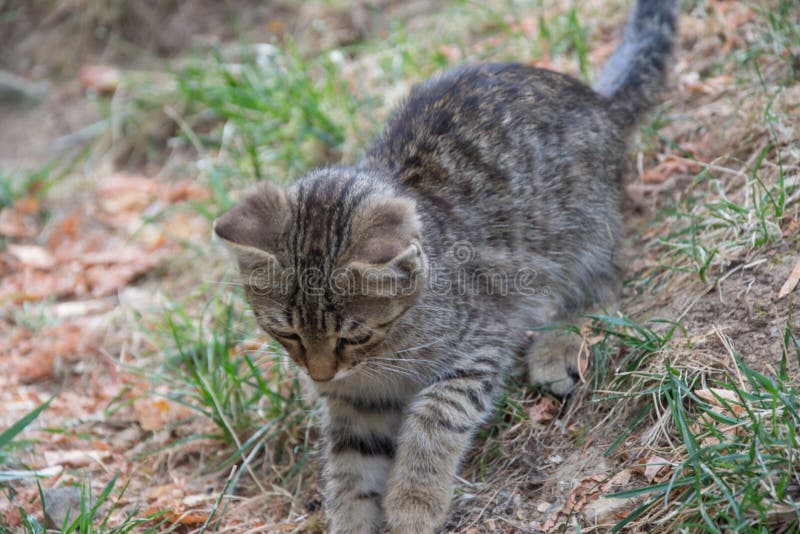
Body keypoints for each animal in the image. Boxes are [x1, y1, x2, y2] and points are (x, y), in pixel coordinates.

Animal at [212, 2, 676, 532]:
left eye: (354, 336)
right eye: (286, 333)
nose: (321, 375)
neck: (385, 356)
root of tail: (597, 101)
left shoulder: (480, 341)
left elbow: (437, 414)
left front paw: (415, 500)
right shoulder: (356, 402)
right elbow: (351, 464)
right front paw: (353, 518)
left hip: (579, 236)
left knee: (601, 289)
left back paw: (557, 345)